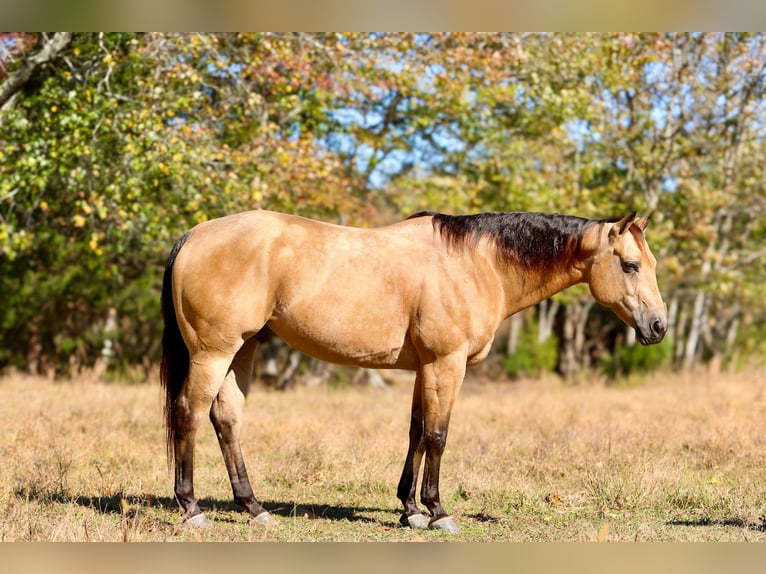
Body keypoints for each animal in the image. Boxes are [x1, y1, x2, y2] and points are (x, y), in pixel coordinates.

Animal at [160, 209, 667, 532]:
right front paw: (438, 511)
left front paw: (409, 509)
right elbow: (438, 436)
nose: (658, 326)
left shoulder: (426, 368)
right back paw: (192, 508)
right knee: (189, 413)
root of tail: (194, 235)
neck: (477, 263)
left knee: (226, 418)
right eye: (630, 265)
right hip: (214, 352)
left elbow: (417, 432)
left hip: (242, 350)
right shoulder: (447, 364)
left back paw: (253, 507)